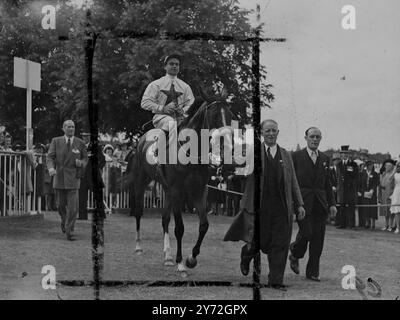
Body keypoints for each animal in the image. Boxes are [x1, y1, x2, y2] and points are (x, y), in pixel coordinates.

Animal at [126, 98, 234, 278]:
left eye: (230, 115)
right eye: (214, 116)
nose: (227, 146)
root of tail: (141, 140)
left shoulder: (199, 192)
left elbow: (204, 225)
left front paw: (191, 259)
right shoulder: (178, 192)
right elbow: (179, 228)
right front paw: (181, 264)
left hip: (167, 190)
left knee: (164, 219)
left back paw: (168, 256)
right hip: (141, 182)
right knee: (139, 212)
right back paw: (139, 247)